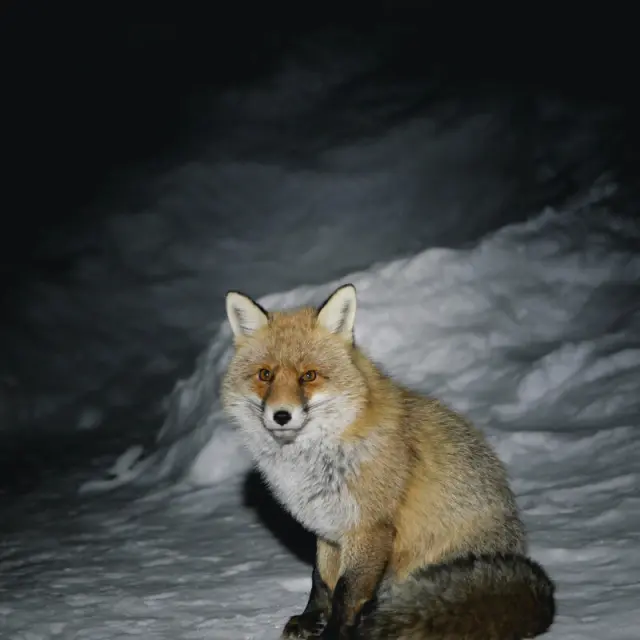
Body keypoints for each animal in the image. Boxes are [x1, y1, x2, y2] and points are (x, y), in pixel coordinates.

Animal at [221, 283, 555, 640]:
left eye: (308, 376)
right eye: (265, 375)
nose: (281, 415)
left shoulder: (369, 529)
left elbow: (346, 593)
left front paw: (334, 634)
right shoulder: (329, 530)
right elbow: (321, 581)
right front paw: (311, 618)